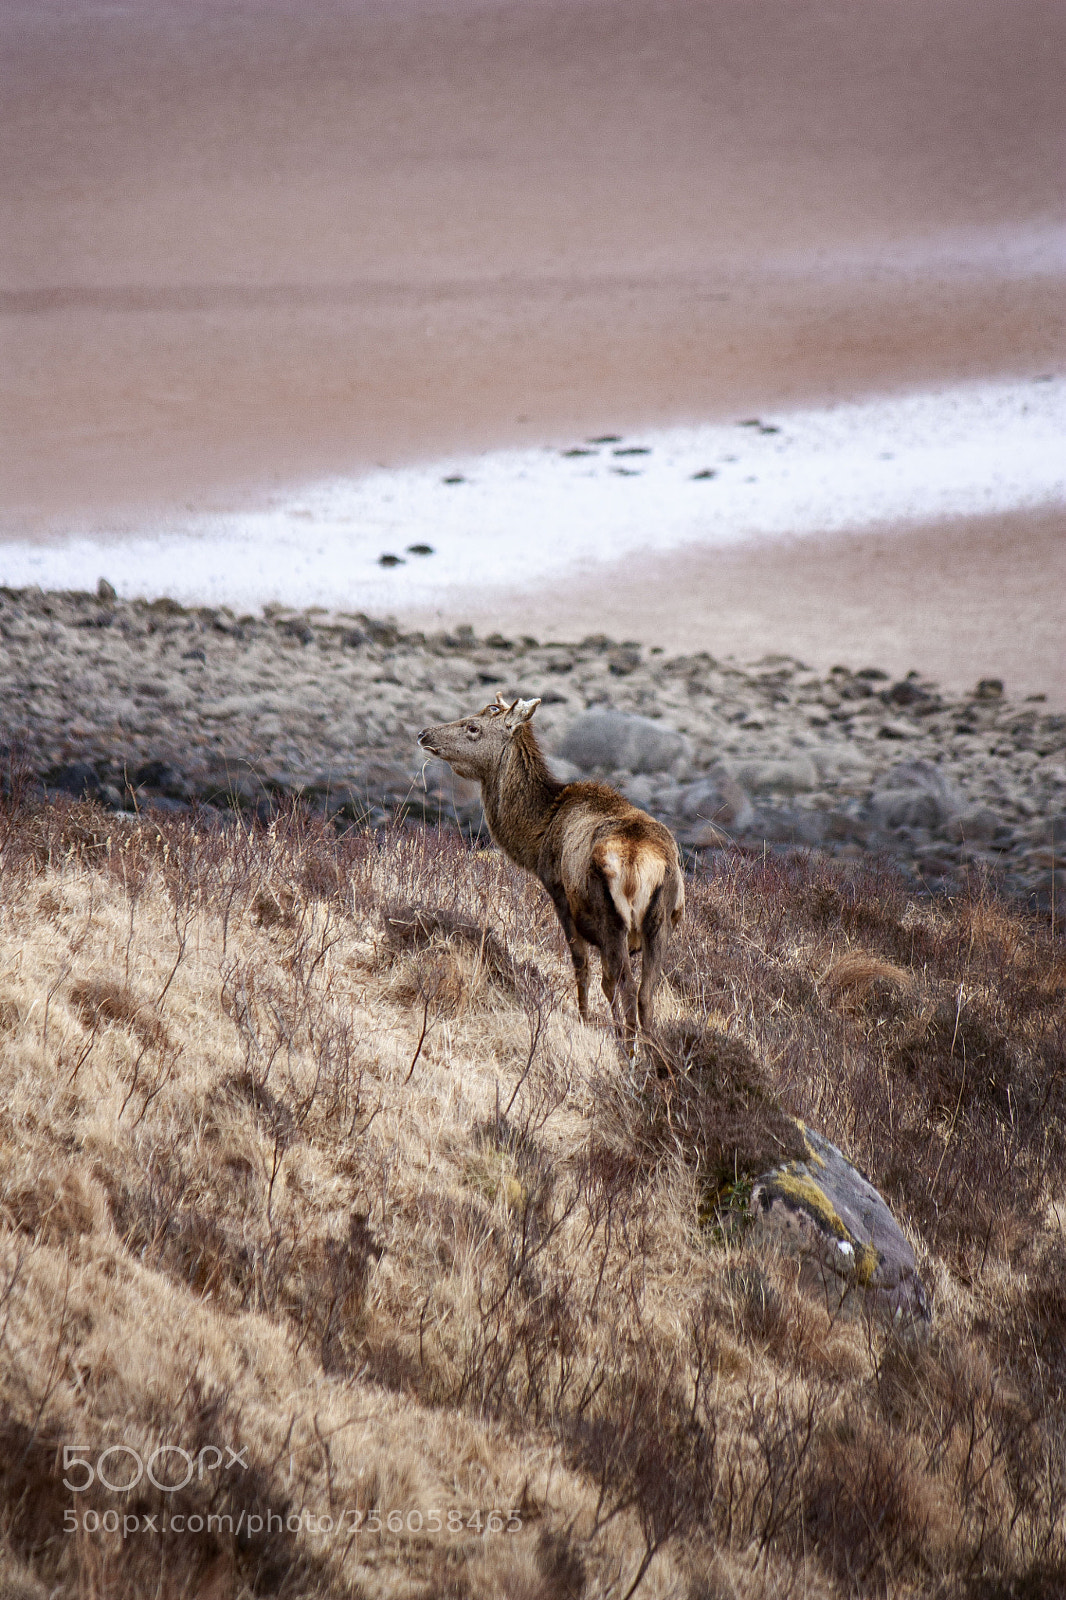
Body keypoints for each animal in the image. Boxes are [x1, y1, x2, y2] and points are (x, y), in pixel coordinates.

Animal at [418, 693, 684, 1048]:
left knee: (625, 985)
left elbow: (582, 966)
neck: (538, 833)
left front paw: (585, 1020)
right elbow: (606, 981)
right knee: (645, 994)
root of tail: (645, 861)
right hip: (661, 920)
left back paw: (627, 1050)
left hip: (612, 916)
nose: (424, 733)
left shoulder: (557, 890)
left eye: (473, 727)